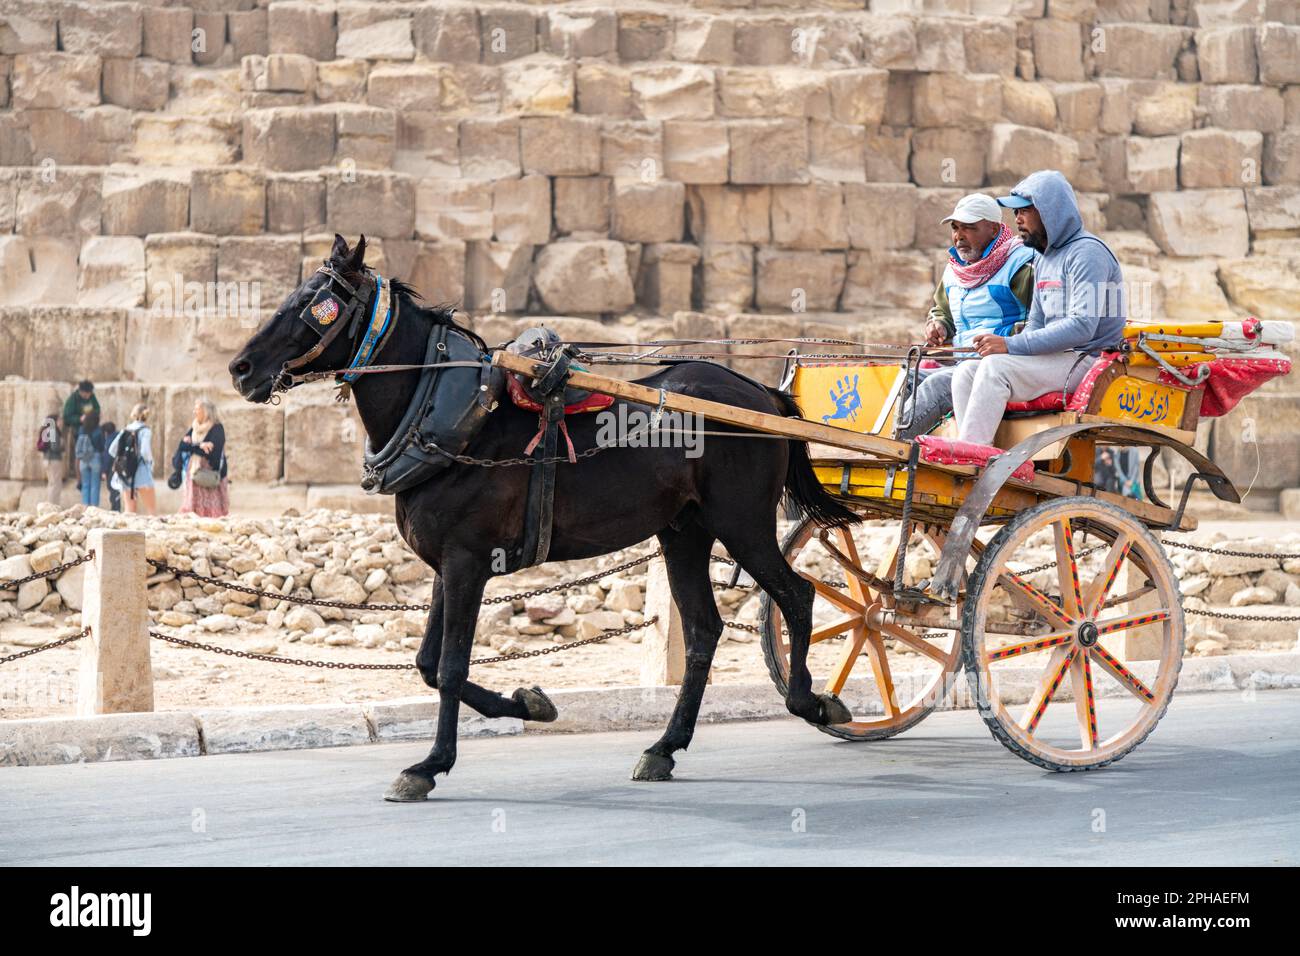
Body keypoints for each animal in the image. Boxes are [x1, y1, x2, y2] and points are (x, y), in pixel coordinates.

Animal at [229, 234, 860, 801]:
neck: (447, 414)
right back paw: (664, 747)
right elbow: (429, 663)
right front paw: (528, 703)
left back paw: (811, 701)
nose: (240, 368)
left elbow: (450, 667)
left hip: (743, 524)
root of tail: (761, 395)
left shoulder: (468, 562)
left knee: (797, 596)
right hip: (685, 531)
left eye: (315, 301)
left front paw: (431, 764)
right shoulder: (444, 565)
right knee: (705, 629)